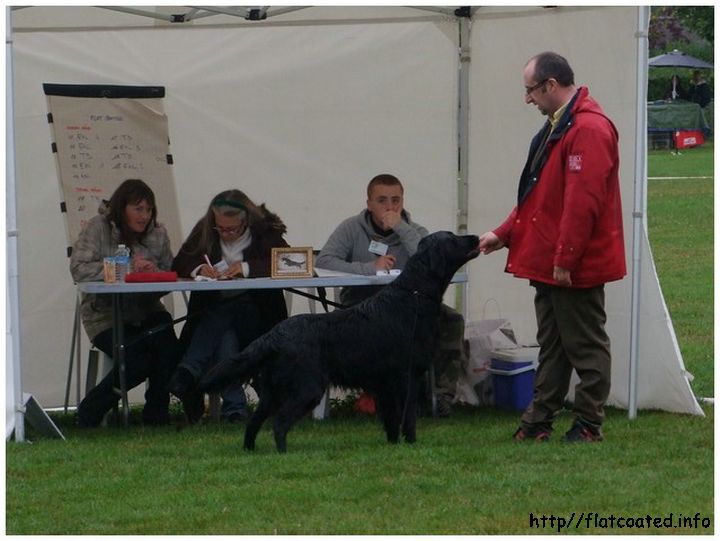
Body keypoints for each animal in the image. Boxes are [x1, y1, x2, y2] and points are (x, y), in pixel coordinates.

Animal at [198, 230, 478, 450]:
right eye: (453, 238)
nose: (475, 236)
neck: (414, 295)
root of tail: (272, 335)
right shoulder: (407, 376)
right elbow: (407, 420)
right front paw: (410, 445)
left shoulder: (387, 385)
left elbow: (391, 422)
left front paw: (393, 446)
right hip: (307, 387)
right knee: (279, 423)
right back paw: (283, 454)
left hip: (272, 392)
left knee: (254, 423)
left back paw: (250, 452)